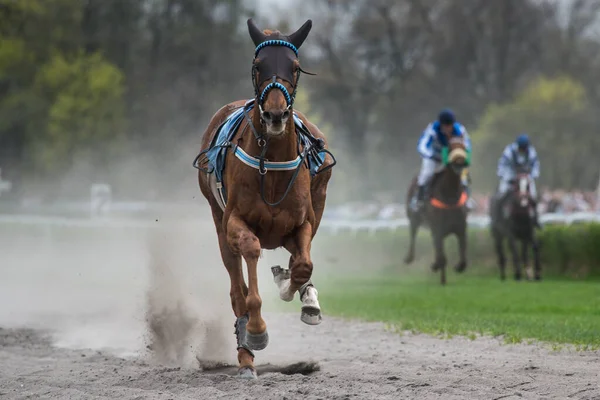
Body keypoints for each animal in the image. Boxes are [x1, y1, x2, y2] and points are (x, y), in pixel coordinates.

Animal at [193, 18, 336, 380]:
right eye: (259, 66)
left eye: (295, 67)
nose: (274, 115)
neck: (270, 166)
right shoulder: (234, 221)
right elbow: (250, 259)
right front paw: (255, 331)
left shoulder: (303, 221)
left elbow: (302, 264)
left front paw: (295, 290)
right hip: (217, 220)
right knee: (236, 288)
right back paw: (245, 354)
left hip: (320, 198)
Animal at [406, 139, 472, 286]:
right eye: (451, 147)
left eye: (463, 146)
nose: (460, 161)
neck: (450, 196)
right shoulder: (437, 229)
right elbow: (442, 257)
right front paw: (437, 268)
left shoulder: (461, 229)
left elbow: (463, 259)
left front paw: (457, 267)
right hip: (414, 218)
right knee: (413, 234)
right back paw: (409, 257)